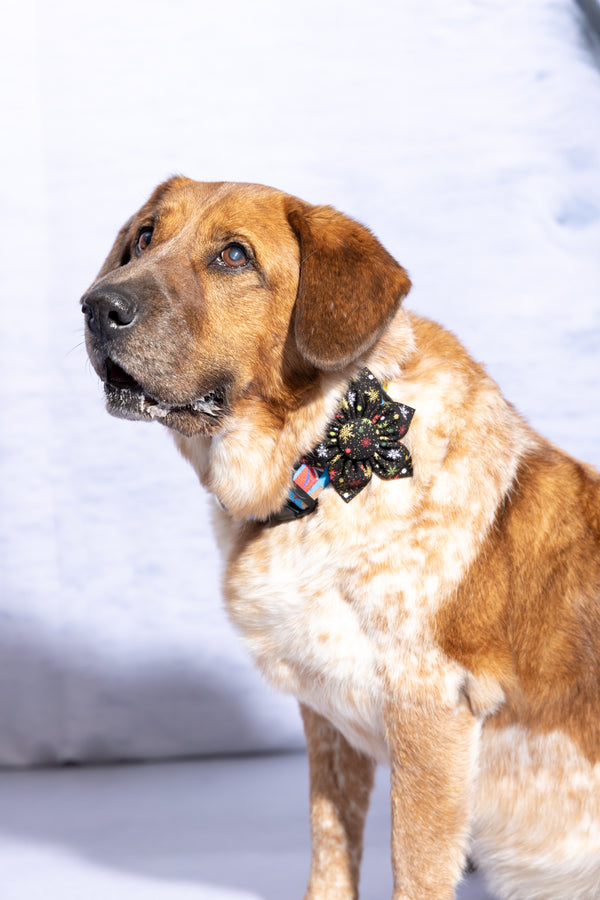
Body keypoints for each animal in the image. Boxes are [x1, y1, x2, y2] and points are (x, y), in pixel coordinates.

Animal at [83, 178, 600, 900]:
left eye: (234, 255)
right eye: (144, 237)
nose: (97, 307)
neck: (321, 464)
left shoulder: (428, 709)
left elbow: (414, 867)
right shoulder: (327, 719)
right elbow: (330, 843)